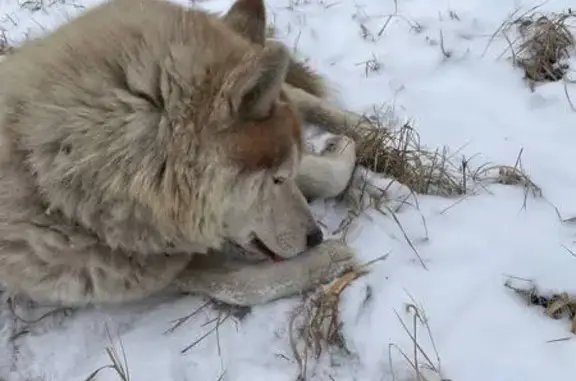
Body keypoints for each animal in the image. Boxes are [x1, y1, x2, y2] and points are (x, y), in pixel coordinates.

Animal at [0, 0, 388, 308]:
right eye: (277, 179)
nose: (315, 236)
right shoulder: (163, 271)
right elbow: (246, 287)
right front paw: (330, 259)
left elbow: (325, 175)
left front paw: (343, 149)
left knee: (302, 95)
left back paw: (369, 130)